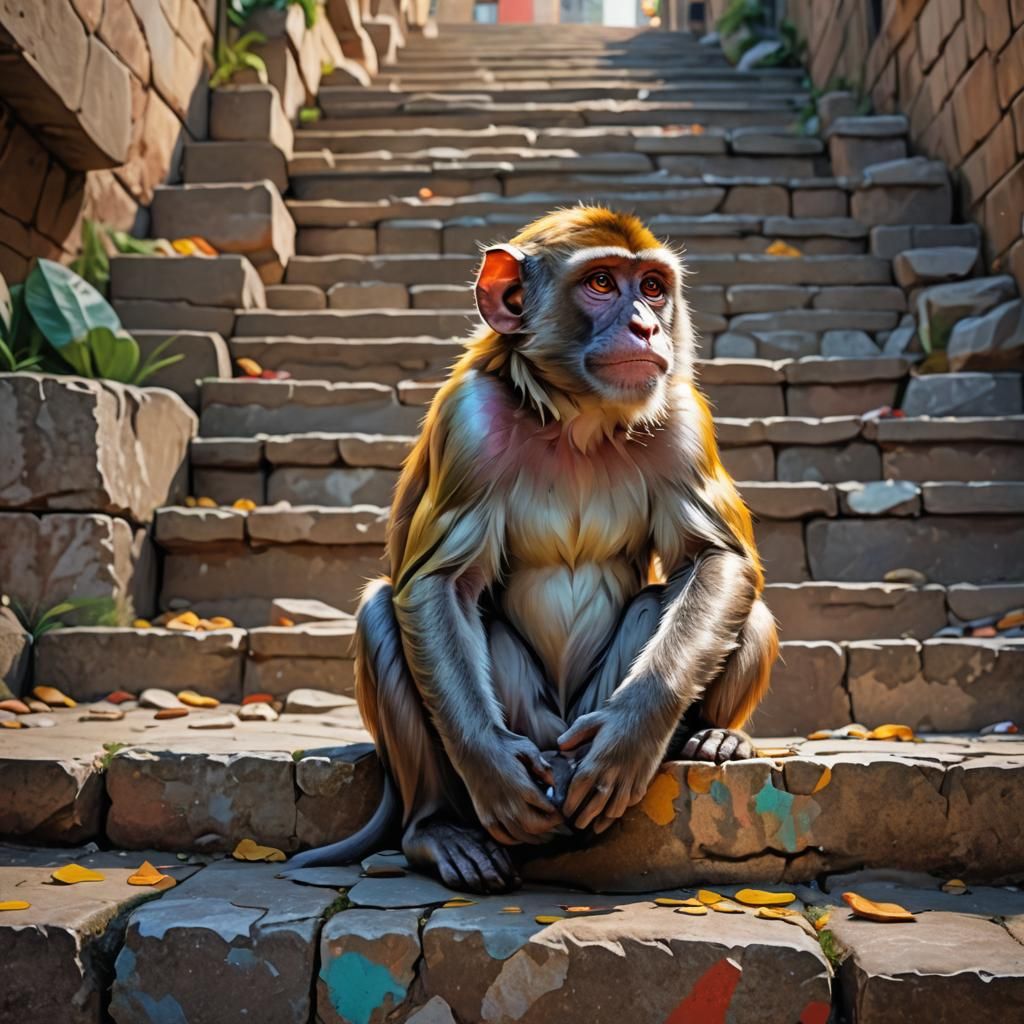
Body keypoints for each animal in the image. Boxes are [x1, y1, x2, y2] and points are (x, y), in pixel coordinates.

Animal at [288, 207, 778, 892]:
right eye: (601, 283)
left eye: (653, 287)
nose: (646, 326)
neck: (577, 418)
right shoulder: (470, 421)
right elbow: (439, 583)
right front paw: (492, 771)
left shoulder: (682, 417)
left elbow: (713, 558)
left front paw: (630, 737)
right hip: (534, 728)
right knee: (383, 610)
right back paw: (436, 829)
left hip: (577, 725)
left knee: (741, 608)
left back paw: (714, 739)